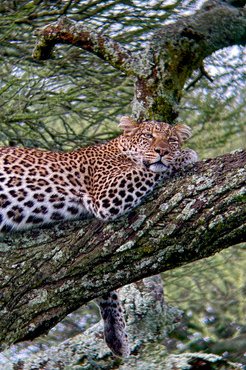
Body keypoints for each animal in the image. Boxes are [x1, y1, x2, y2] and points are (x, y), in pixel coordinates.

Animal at [0, 116, 197, 358]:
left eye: (171, 140)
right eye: (148, 136)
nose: (163, 151)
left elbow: (102, 282)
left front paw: (116, 334)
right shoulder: (107, 195)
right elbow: (150, 169)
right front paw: (184, 156)